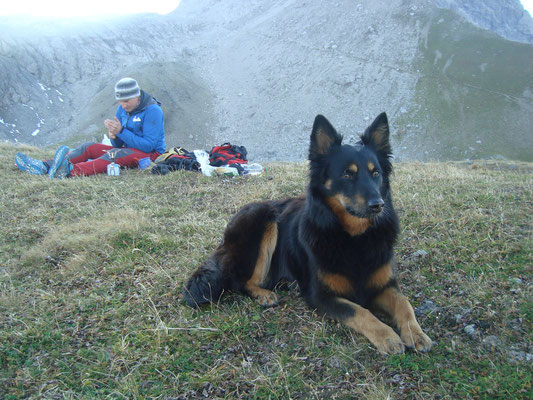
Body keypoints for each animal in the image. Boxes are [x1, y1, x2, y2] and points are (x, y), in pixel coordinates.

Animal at [183, 112, 432, 354]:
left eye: (376, 173)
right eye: (347, 175)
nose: (378, 205)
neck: (354, 237)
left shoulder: (385, 285)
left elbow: (404, 304)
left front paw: (416, 333)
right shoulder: (320, 296)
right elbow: (361, 312)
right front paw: (387, 336)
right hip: (264, 218)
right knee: (241, 281)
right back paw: (264, 294)